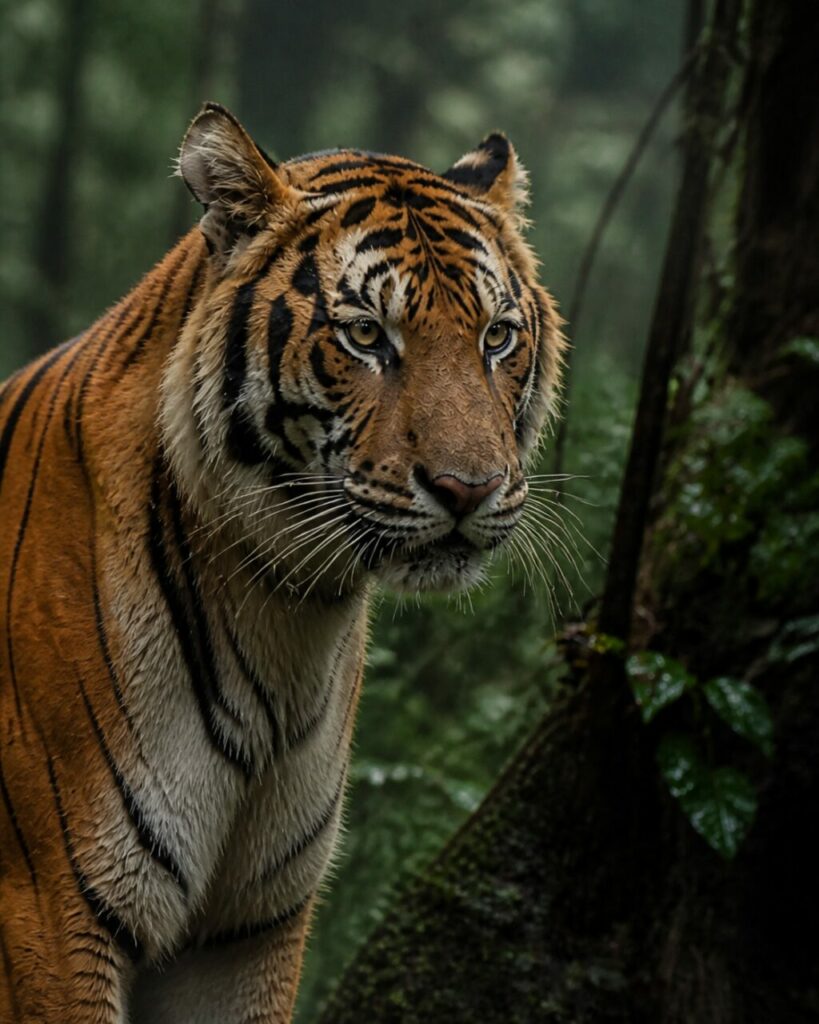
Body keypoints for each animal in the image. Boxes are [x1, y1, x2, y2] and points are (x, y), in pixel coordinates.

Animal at [0, 102, 563, 1022]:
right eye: (367, 336)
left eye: (496, 337)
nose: (468, 489)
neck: (284, 614)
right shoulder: (49, 907)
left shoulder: (250, 928)